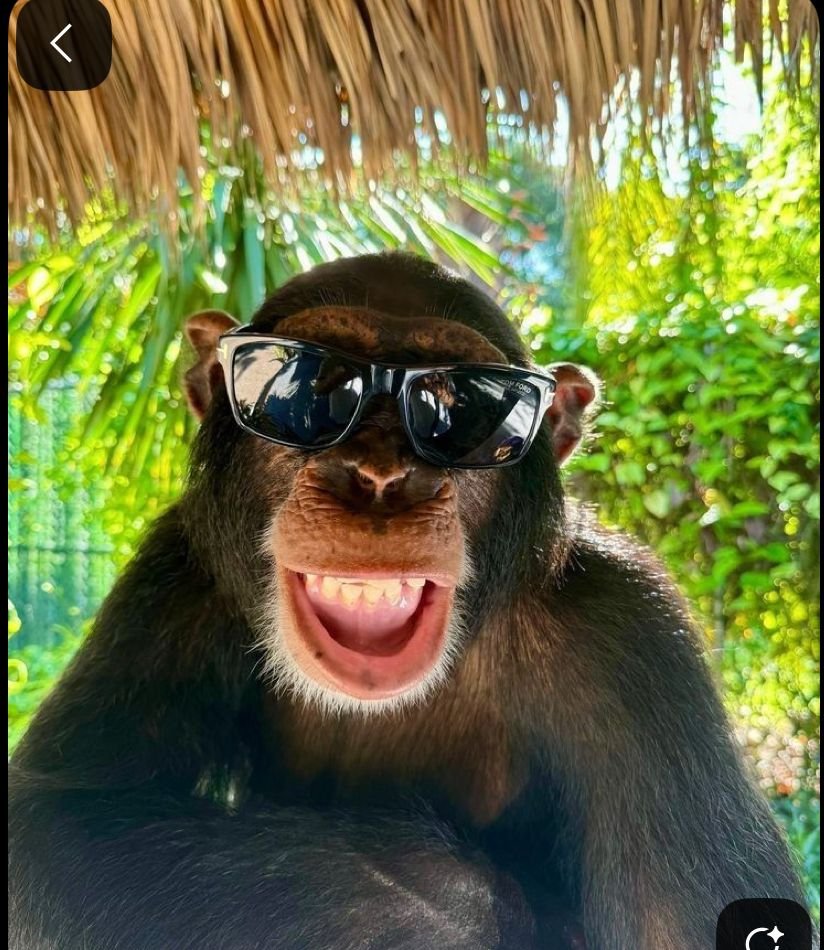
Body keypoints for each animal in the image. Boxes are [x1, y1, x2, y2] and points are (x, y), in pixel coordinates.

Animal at [8, 253, 807, 950]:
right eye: (311, 383)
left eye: (462, 405)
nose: (379, 473)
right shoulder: (174, 579)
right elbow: (55, 809)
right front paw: (450, 909)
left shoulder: (631, 632)